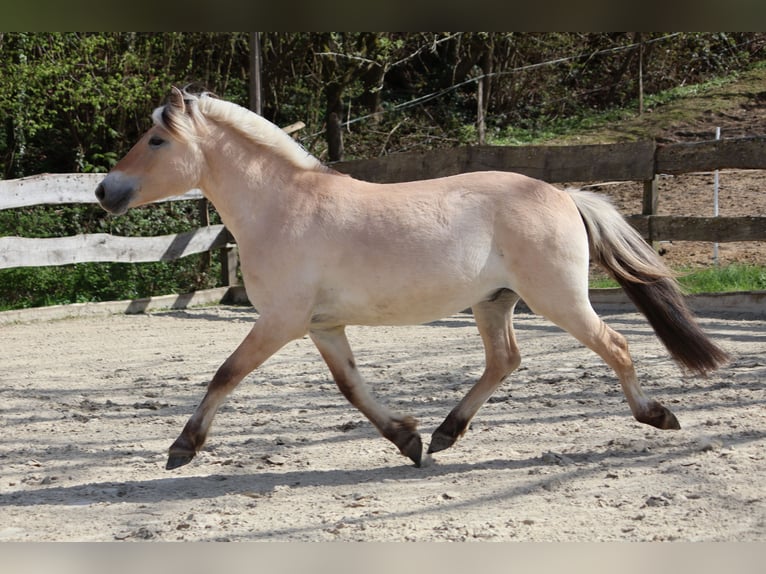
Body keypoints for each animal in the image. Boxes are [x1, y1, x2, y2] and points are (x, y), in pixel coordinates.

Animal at [96, 87, 729, 471]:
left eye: (156, 140)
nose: (104, 191)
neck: (282, 207)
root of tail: (563, 194)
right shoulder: (322, 327)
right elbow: (352, 388)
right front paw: (408, 439)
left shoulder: (279, 321)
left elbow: (226, 373)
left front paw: (182, 447)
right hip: (494, 302)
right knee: (504, 360)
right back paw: (448, 432)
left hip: (559, 300)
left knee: (615, 345)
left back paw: (657, 415)